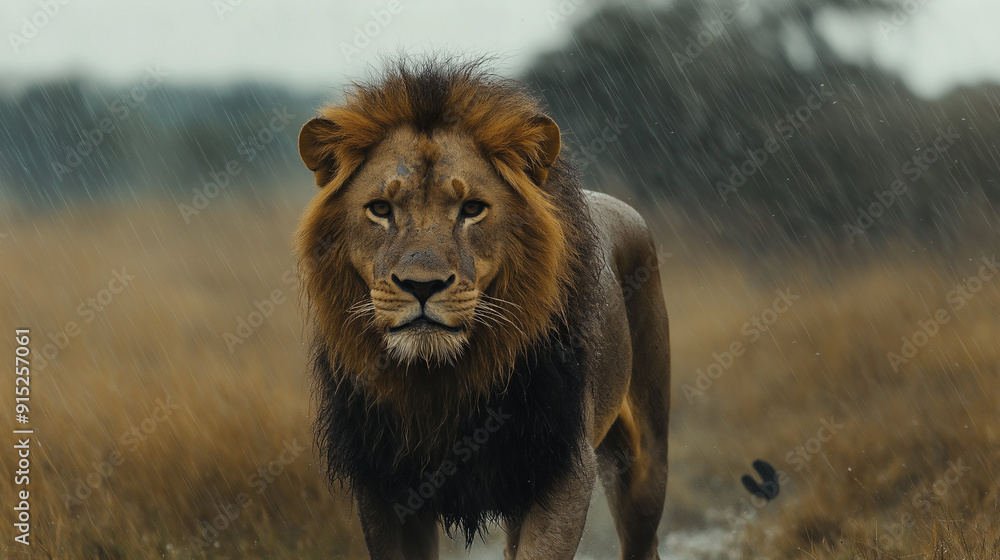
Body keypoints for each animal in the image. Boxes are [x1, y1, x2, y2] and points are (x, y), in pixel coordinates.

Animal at [295, 58, 670, 559]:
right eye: (380, 209)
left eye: (472, 208)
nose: (422, 285)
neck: (439, 378)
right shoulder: (384, 484)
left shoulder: (562, 468)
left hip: (645, 460)